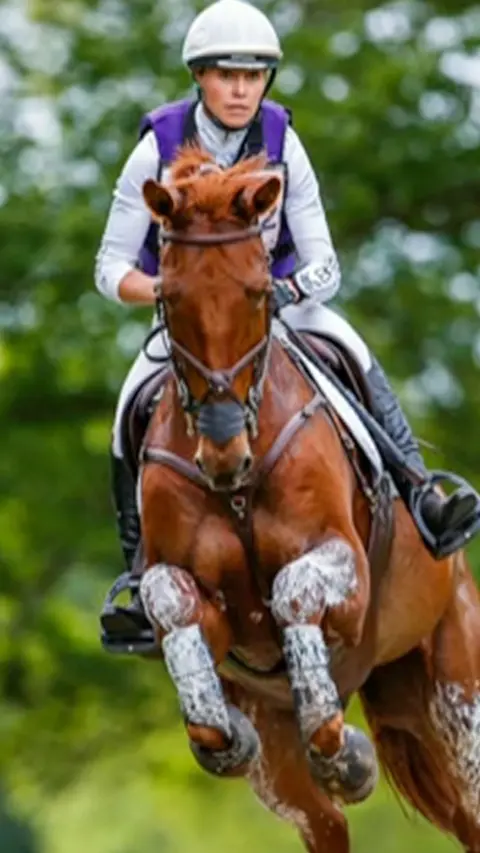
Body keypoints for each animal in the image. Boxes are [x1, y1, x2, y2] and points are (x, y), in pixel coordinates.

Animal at [133, 145, 480, 852]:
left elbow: (294, 591)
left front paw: (347, 754)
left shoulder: (346, 573)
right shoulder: (200, 606)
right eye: (169, 298)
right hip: (346, 742)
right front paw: (224, 736)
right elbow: (177, 613)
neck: (237, 488)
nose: (223, 452)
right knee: (329, 822)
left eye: (259, 293)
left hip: (455, 690)